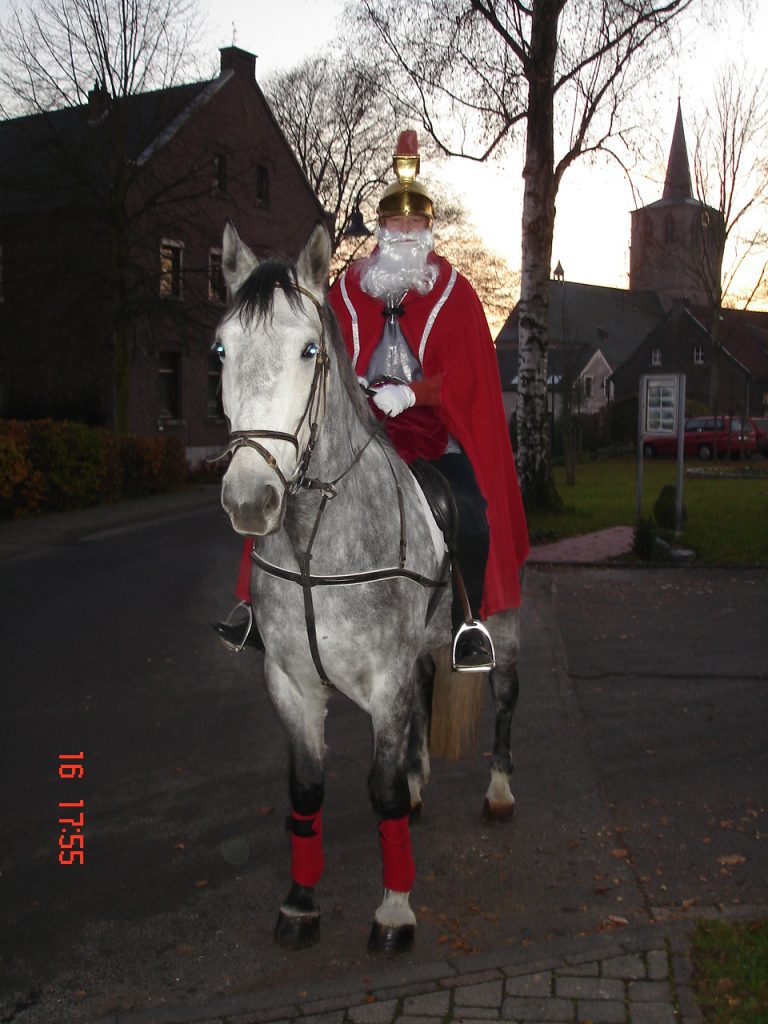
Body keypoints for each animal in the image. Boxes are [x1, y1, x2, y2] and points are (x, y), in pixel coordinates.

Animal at [214, 221, 521, 954]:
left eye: (308, 349)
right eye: (221, 349)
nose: (250, 499)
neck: (313, 544)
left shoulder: (384, 682)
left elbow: (379, 792)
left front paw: (394, 910)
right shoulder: (292, 685)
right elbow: (306, 793)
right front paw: (301, 903)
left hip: (504, 620)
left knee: (504, 698)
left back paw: (498, 792)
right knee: (428, 691)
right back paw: (420, 784)